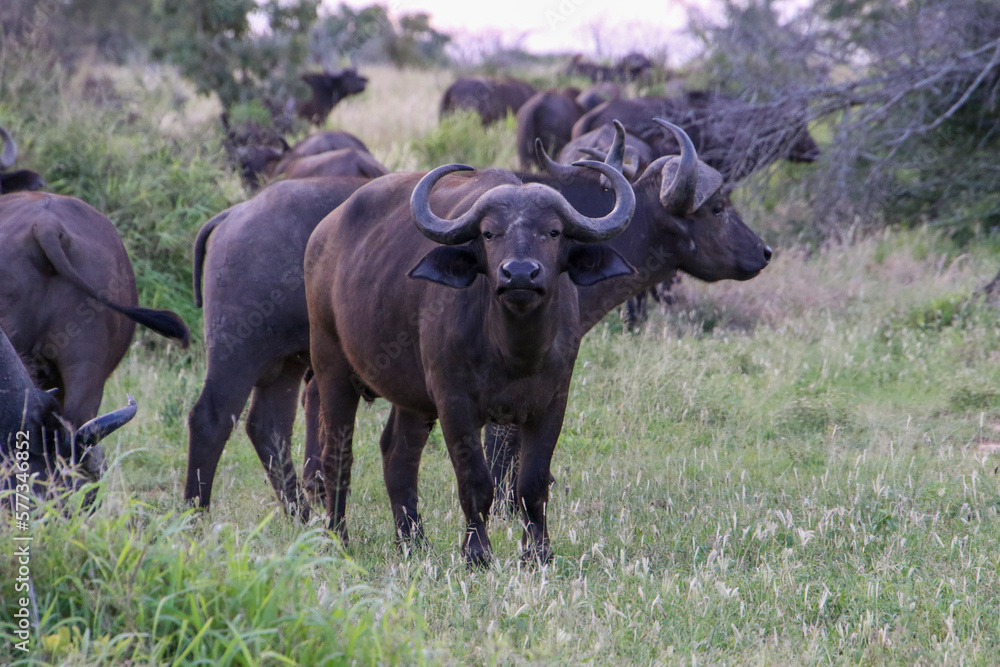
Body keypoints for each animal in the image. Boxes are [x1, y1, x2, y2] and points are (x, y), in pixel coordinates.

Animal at [184, 175, 372, 516]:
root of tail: (235, 213)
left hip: (286, 361)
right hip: (238, 353)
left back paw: (302, 514)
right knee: (210, 419)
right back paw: (195, 513)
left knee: (268, 426)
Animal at [302, 159, 632, 568]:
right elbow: (475, 480)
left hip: (411, 397)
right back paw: (337, 538)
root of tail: (322, 235)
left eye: (553, 232)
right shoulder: (453, 402)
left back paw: (413, 542)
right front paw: (477, 553)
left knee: (398, 454)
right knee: (337, 455)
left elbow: (532, 482)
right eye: (489, 233)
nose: (519, 273)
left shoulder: (553, 402)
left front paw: (538, 552)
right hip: (331, 365)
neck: (512, 351)